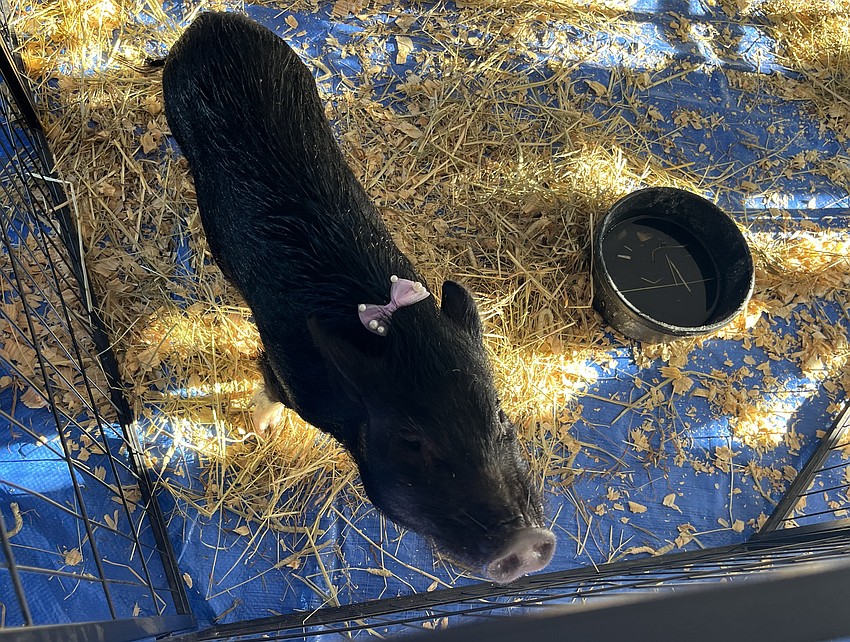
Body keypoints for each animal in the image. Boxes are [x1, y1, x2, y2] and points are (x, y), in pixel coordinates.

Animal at [162, 11, 554, 584]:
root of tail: (215, 20)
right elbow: (267, 387)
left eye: (501, 419)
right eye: (413, 440)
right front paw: (259, 431)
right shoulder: (285, 364)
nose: (529, 541)